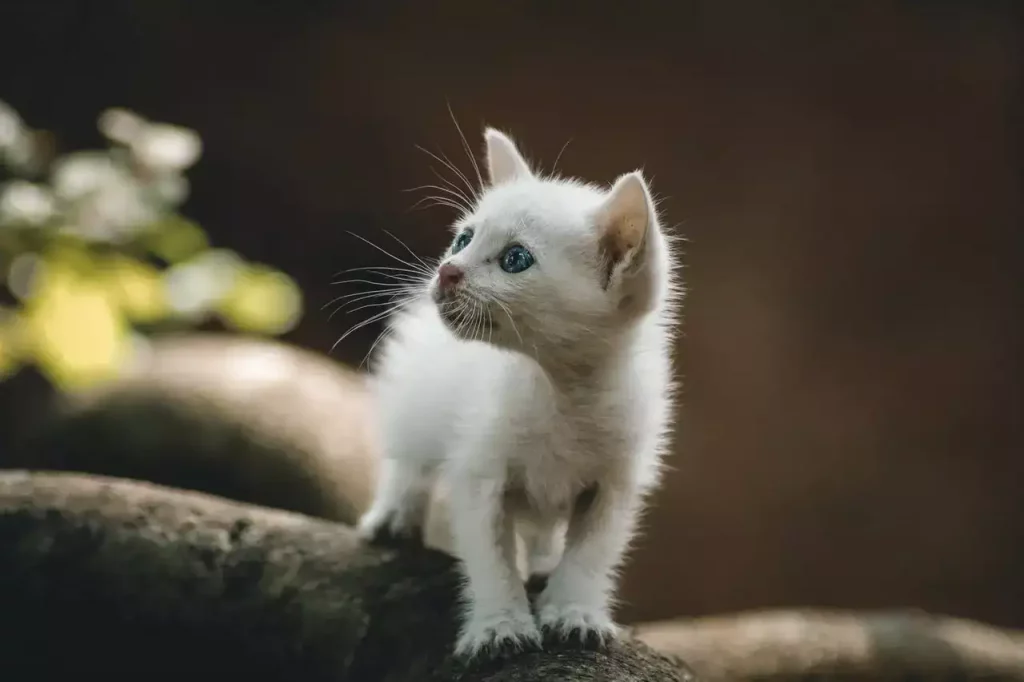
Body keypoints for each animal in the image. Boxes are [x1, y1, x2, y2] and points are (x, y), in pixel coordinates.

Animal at [360, 125, 679, 655]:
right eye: (465, 238)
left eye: (516, 259)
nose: (448, 270)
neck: (560, 389)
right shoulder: (478, 469)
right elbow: (491, 555)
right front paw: (500, 624)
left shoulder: (619, 477)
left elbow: (593, 550)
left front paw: (574, 610)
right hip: (414, 396)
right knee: (408, 458)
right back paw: (393, 514)